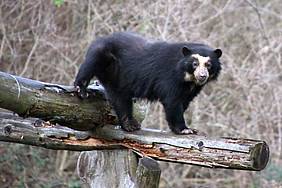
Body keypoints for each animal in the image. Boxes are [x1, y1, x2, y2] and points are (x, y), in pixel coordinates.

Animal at [75, 32, 223, 135]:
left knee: (120, 99)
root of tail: (101, 38)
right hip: (102, 54)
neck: (188, 78)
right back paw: (81, 89)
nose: (202, 76)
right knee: (89, 66)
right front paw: (185, 129)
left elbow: (184, 101)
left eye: (209, 65)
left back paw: (130, 125)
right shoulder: (170, 78)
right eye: (194, 64)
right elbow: (173, 102)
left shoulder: (192, 89)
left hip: (117, 78)